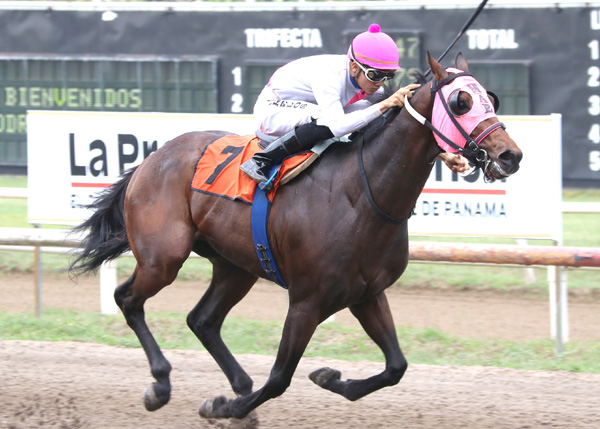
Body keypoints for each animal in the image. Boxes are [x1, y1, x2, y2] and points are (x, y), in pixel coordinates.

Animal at [69, 52, 520, 418]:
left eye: (491, 99)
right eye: (461, 102)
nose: (510, 155)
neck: (361, 194)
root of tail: (152, 158)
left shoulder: (366, 293)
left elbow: (396, 366)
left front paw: (329, 378)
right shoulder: (307, 300)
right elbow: (279, 378)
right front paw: (224, 407)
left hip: (235, 265)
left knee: (203, 319)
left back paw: (237, 386)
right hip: (163, 256)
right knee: (128, 299)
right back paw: (162, 385)